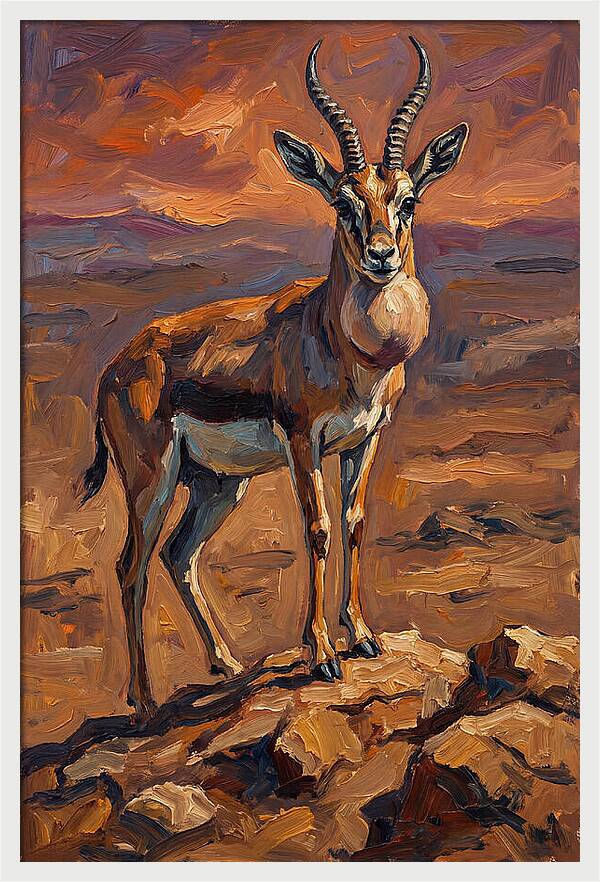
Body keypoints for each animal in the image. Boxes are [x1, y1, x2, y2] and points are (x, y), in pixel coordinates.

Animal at [81, 36, 468, 718]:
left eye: (407, 198)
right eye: (343, 200)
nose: (381, 257)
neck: (342, 346)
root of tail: (115, 366)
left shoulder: (365, 439)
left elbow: (355, 522)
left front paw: (362, 637)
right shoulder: (302, 440)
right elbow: (316, 529)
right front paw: (322, 656)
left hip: (216, 485)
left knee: (180, 554)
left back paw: (229, 664)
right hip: (153, 478)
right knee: (131, 565)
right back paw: (145, 701)